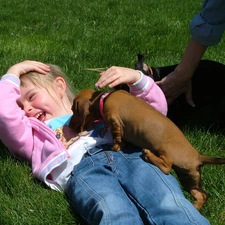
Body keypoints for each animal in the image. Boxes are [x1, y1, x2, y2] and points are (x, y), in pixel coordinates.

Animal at [69, 87, 225, 209]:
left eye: (73, 110)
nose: (69, 126)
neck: (103, 98)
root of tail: (198, 156)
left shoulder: (113, 117)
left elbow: (116, 137)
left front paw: (113, 145)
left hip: (166, 149)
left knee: (167, 167)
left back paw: (148, 155)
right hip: (188, 175)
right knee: (201, 195)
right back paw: (195, 206)